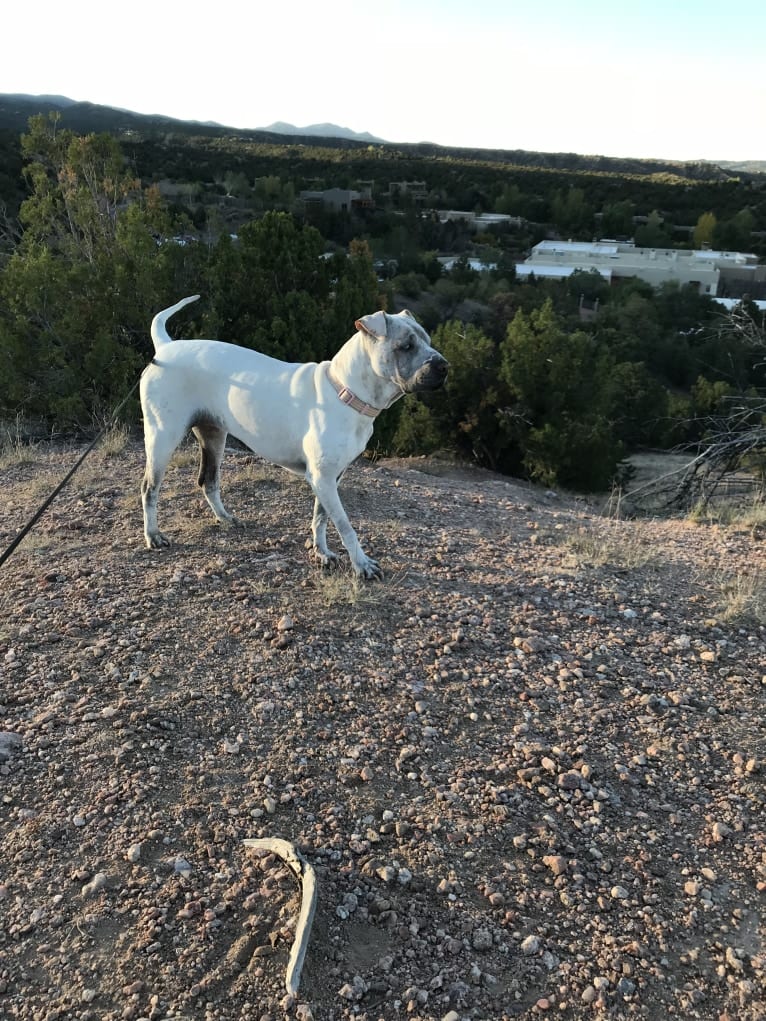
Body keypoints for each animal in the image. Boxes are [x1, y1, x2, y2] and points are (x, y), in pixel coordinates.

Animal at [140, 298, 447, 579]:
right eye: (406, 346)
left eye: (427, 340)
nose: (444, 366)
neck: (346, 392)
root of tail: (165, 346)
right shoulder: (322, 478)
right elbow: (345, 525)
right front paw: (362, 564)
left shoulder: (330, 477)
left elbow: (321, 517)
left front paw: (322, 552)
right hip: (163, 437)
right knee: (149, 488)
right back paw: (153, 535)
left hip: (214, 435)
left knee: (209, 481)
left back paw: (225, 518)